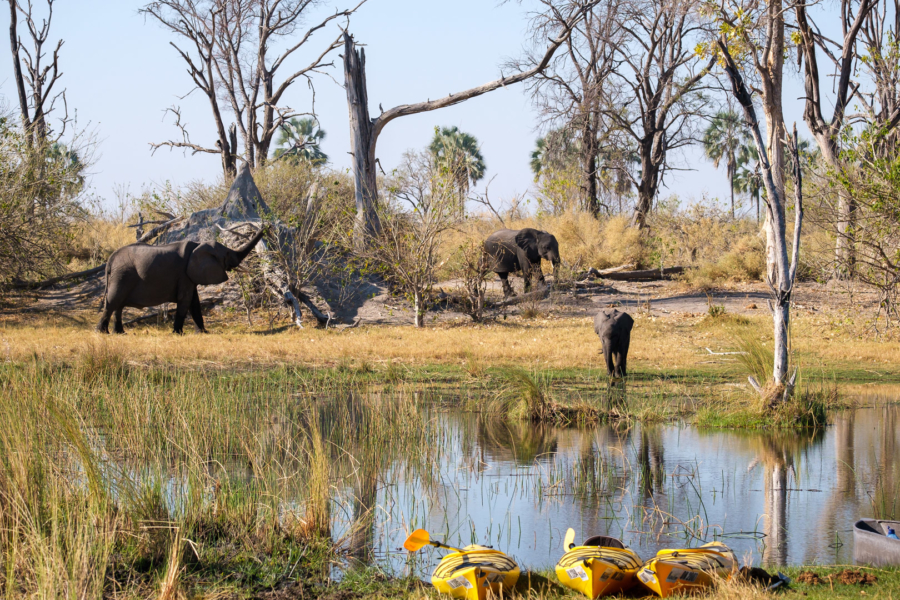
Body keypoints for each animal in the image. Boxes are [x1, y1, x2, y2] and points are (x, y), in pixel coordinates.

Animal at [100, 227, 268, 336]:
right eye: (227, 254)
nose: (267, 225)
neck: (198, 246)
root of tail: (110, 259)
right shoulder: (184, 274)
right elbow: (185, 300)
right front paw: (177, 333)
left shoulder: (189, 276)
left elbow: (194, 302)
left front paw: (202, 333)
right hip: (122, 275)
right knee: (113, 302)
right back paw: (102, 332)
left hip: (121, 276)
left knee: (118, 305)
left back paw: (120, 333)